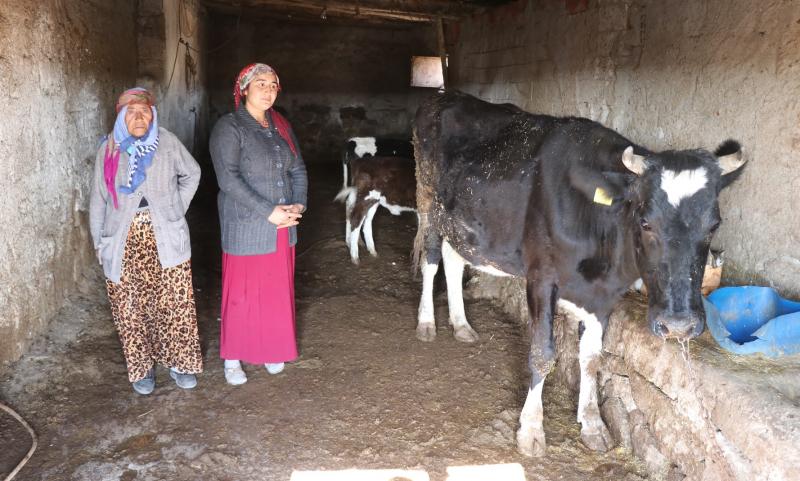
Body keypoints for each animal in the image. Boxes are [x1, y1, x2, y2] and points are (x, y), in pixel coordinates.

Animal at [416, 91, 748, 458]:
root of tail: (445, 95)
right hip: (427, 202)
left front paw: (593, 424)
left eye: (713, 225)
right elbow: (543, 353)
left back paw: (461, 324)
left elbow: (591, 359)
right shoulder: (541, 278)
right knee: (431, 259)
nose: (678, 326)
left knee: (453, 258)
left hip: (461, 224)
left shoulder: (604, 295)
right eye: (645, 221)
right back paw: (427, 323)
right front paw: (531, 430)